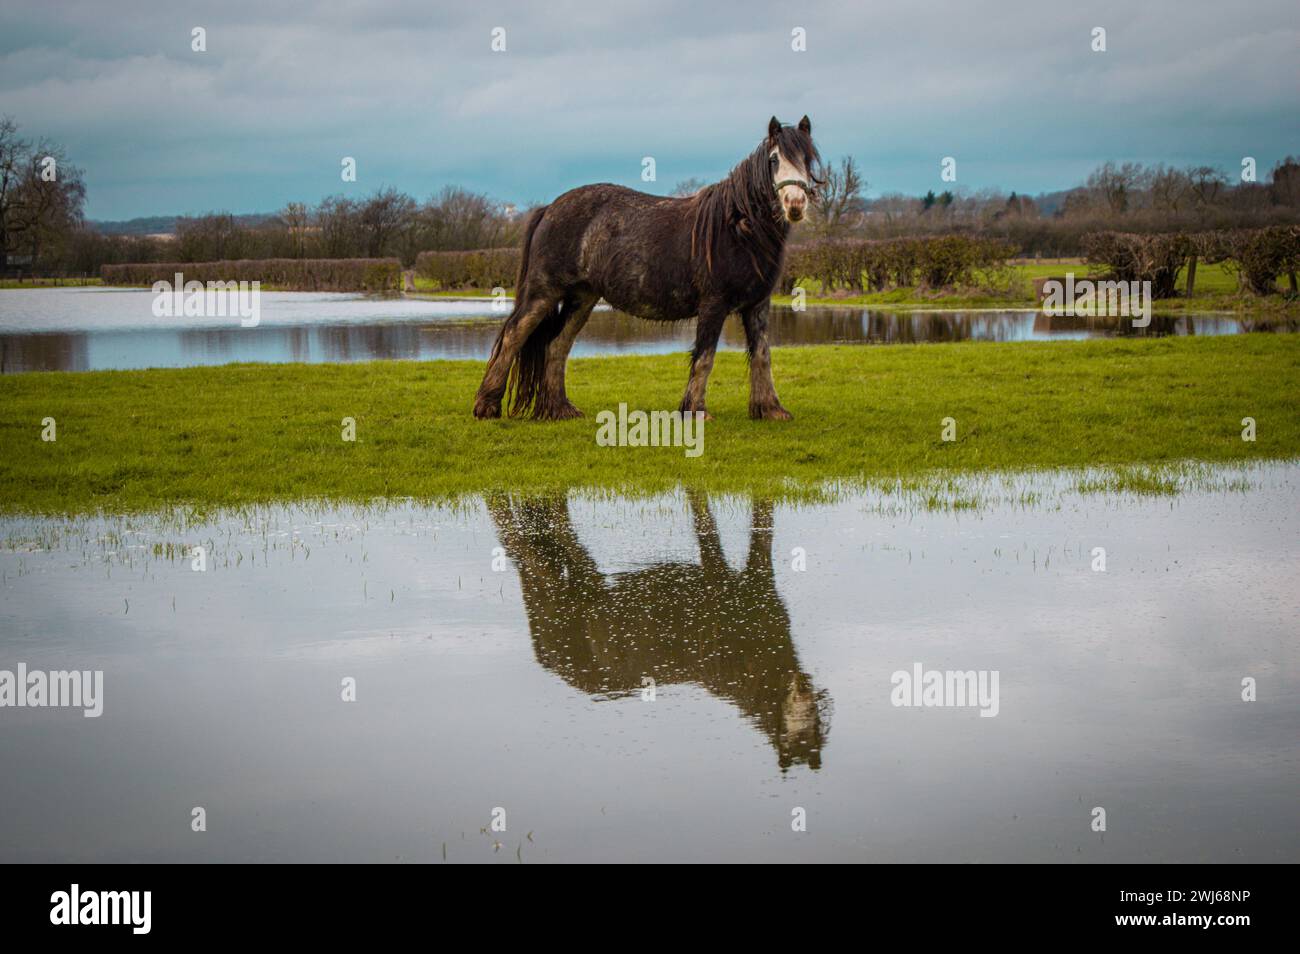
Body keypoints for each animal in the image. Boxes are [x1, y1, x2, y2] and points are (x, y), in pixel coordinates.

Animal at [472, 116, 822, 421]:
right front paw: (696, 412)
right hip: (544, 293)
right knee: (514, 335)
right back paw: (487, 406)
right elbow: (705, 357)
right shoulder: (714, 304)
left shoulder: (757, 304)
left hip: (581, 299)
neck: (736, 227)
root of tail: (549, 208)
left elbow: (762, 354)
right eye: (775, 160)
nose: (795, 204)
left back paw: (561, 409)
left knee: (556, 345)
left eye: (808, 159)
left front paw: (771, 410)